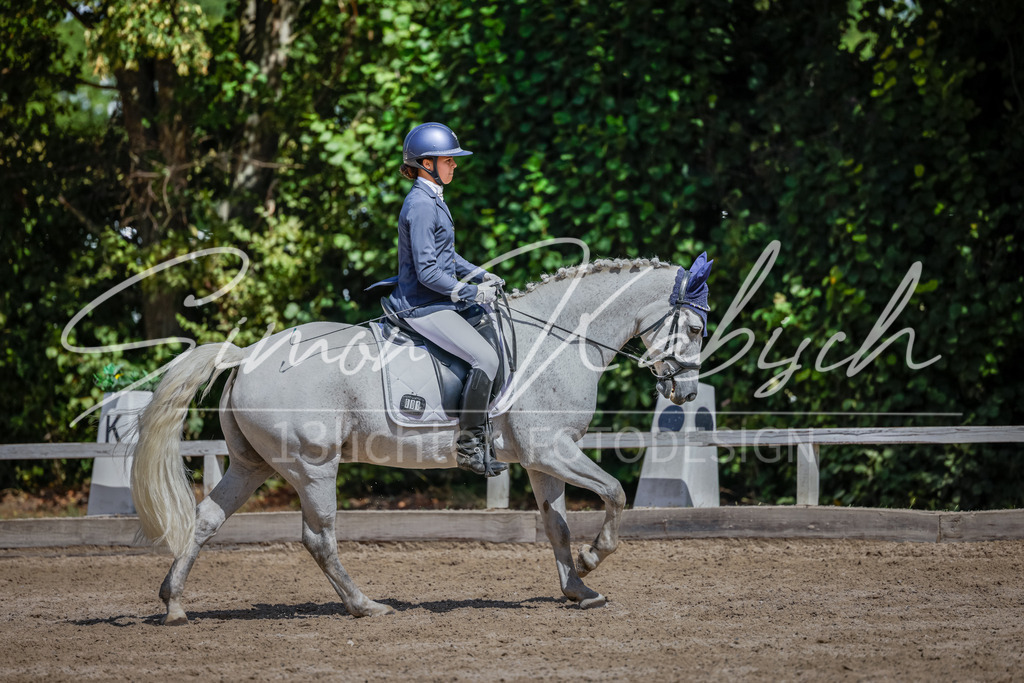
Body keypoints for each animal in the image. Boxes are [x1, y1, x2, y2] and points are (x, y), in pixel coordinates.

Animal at [130, 254, 712, 624]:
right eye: (698, 329)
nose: (684, 390)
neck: (557, 339)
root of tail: (247, 353)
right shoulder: (552, 450)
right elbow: (614, 493)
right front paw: (593, 561)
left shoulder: (543, 459)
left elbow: (558, 526)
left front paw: (579, 588)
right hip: (311, 466)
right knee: (319, 539)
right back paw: (365, 606)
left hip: (252, 465)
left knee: (206, 520)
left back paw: (174, 604)